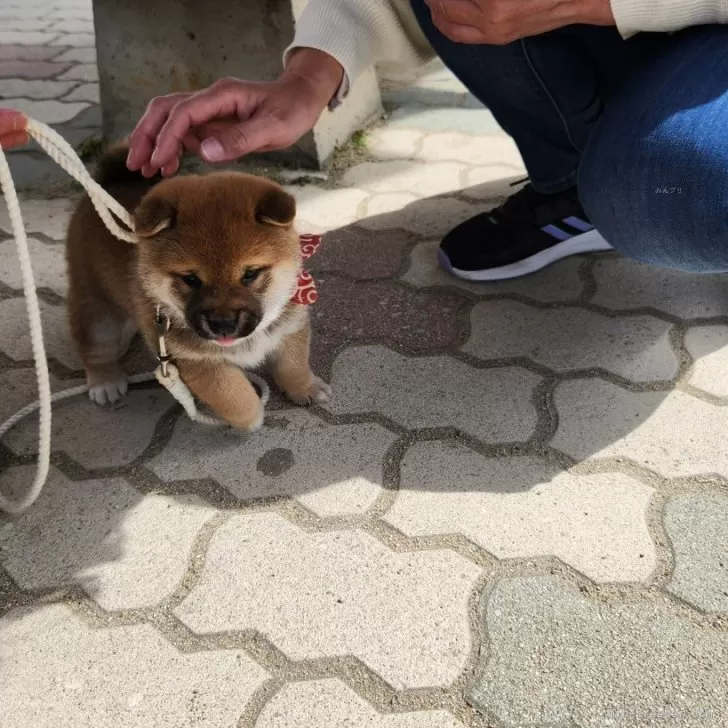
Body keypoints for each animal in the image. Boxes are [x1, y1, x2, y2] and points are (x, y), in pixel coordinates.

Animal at [67, 146, 332, 432]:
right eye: (191, 279)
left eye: (250, 274)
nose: (223, 324)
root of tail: (110, 179)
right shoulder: (194, 361)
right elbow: (233, 396)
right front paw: (252, 417)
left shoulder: (289, 329)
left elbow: (293, 365)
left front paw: (306, 388)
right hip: (96, 309)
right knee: (94, 349)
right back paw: (105, 382)